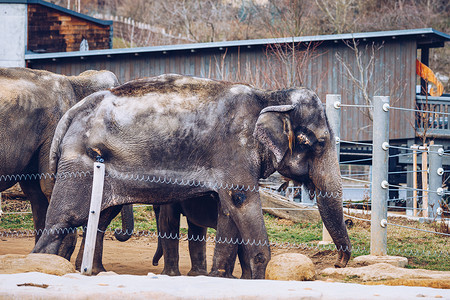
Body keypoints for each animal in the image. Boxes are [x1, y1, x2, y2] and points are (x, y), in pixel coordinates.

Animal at [33, 73, 354, 278]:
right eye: (320, 143)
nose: (339, 264)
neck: (270, 94)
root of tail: (73, 111)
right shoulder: (234, 150)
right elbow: (240, 200)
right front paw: (258, 275)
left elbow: (229, 209)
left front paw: (227, 277)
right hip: (81, 162)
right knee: (64, 219)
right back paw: (45, 265)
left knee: (97, 217)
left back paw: (90, 271)